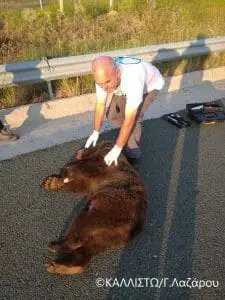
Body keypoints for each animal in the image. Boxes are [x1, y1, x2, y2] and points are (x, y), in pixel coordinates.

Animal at [41, 141, 148, 274]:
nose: (81, 150)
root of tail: (135, 227)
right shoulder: (89, 182)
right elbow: (78, 184)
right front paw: (50, 182)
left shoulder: (101, 164)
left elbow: (83, 167)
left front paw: (64, 172)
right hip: (113, 235)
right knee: (89, 248)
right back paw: (60, 265)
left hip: (107, 209)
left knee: (82, 224)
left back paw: (57, 246)